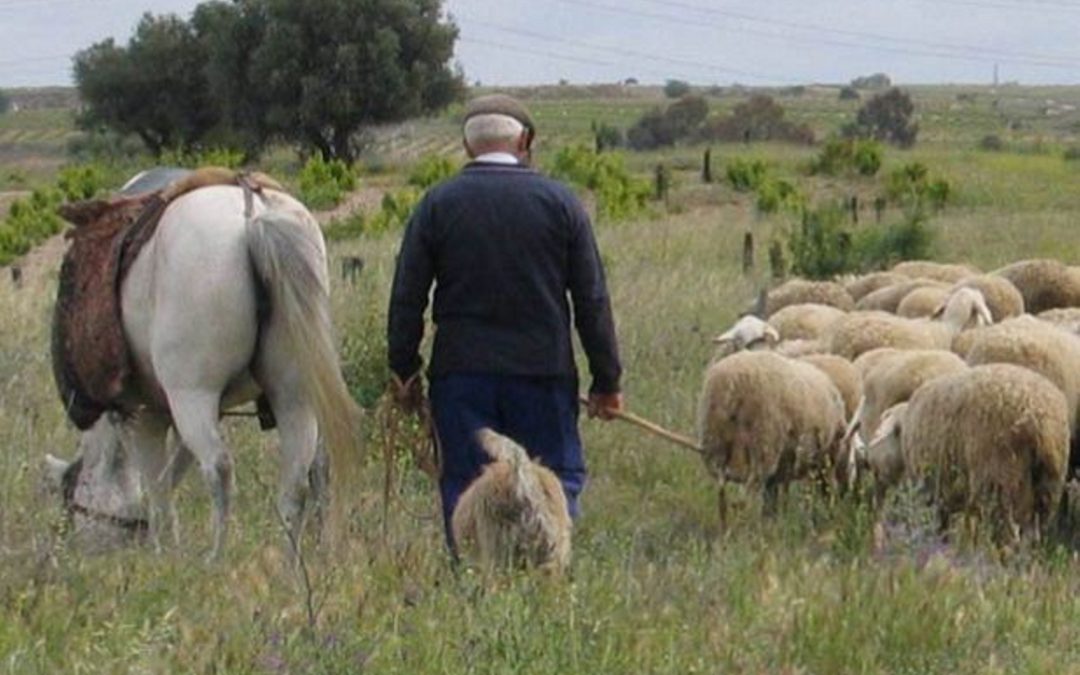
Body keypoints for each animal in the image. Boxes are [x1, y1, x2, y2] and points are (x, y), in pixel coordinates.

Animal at [45, 181, 358, 557]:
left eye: (70, 497)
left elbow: (158, 489)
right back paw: (290, 562)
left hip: (193, 396)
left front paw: (164, 554)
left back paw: (216, 558)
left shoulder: (144, 416)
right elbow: (171, 473)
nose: (66, 553)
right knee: (297, 478)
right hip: (292, 394)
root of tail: (254, 213)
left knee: (219, 469)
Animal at [695, 347, 846, 520]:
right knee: (744, 497)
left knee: (723, 495)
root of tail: (732, 386)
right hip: (764, 443)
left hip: (716, 445)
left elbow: (770, 497)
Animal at [855, 362, 1067, 542]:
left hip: (1001, 478)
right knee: (1032, 534)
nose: (867, 460)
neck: (906, 429)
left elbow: (939, 525)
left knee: (1008, 536)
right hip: (1047, 486)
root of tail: (1040, 421)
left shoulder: (932, 489)